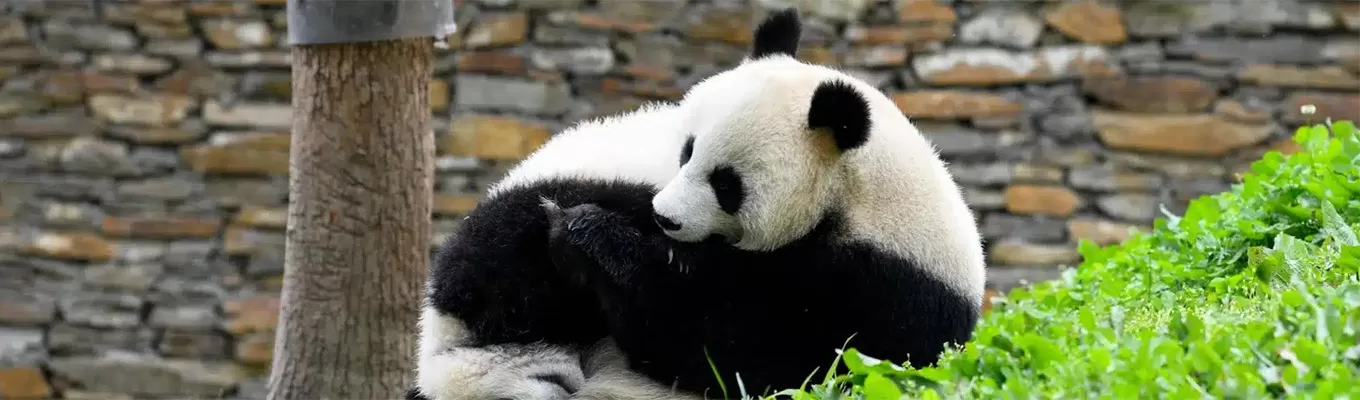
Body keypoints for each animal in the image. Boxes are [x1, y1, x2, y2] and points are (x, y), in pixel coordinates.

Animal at [543, 8, 987, 398]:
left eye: (726, 184)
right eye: (687, 151)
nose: (664, 217)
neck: (854, 193)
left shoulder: (872, 292)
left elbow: (731, 343)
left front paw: (589, 234)